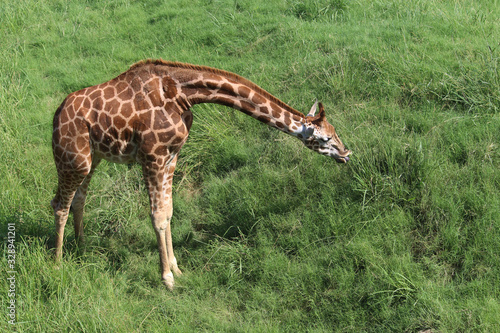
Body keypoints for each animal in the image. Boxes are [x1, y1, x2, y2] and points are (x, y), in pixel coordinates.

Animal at [49, 59, 348, 288]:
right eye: (324, 139)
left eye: (335, 132)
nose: (346, 153)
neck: (182, 94)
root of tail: (56, 115)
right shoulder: (152, 156)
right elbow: (157, 216)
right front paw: (167, 278)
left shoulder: (171, 156)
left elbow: (169, 211)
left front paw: (177, 268)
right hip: (73, 159)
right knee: (59, 204)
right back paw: (58, 263)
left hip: (92, 158)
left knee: (78, 200)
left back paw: (83, 249)